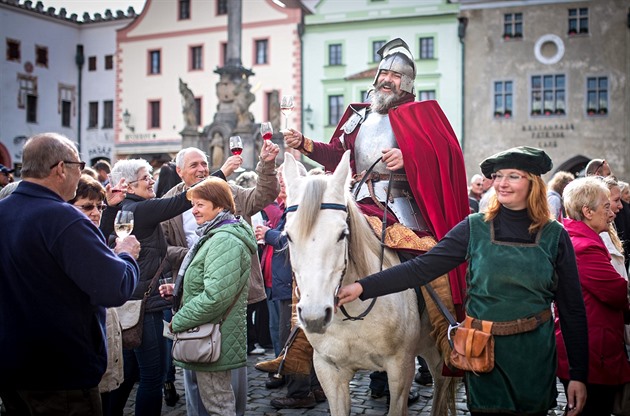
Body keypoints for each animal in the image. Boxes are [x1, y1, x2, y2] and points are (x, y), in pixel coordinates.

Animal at [284, 150, 456, 416]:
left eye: (342, 234)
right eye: (289, 235)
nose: (314, 316)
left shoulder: (400, 368)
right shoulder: (328, 371)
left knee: (441, 381)